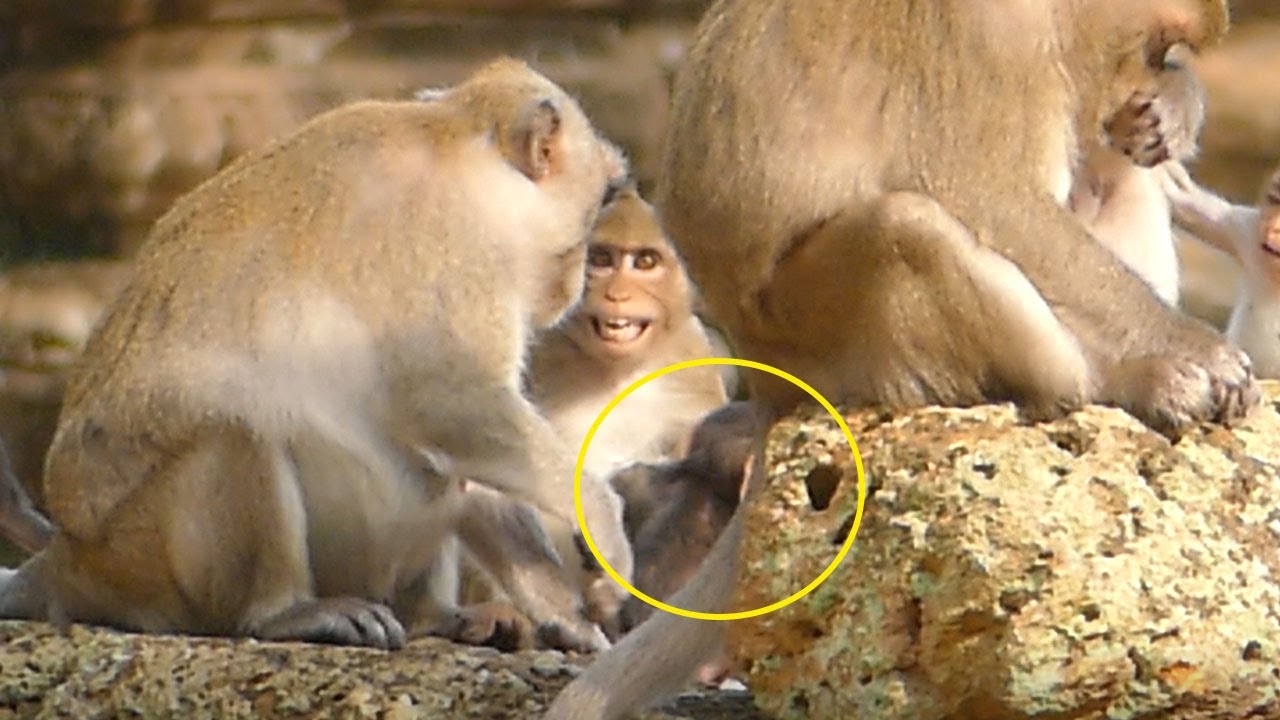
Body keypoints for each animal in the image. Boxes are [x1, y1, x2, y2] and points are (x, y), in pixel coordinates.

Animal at [0, 58, 635, 654]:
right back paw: (284, 613)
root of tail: (70, 557)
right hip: (143, 556)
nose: (576, 284)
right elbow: (445, 401)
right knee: (235, 432)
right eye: (604, 196)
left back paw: (437, 618)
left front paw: (565, 614)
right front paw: (600, 525)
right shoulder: (455, 251)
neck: (459, 141)